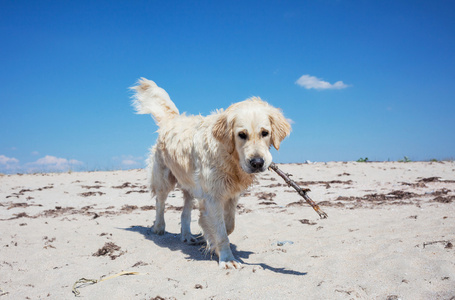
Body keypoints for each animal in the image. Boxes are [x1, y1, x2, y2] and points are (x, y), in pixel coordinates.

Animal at [131, 78, 292, 270]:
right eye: (241, 134)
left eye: (265, 133)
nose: (257, 163)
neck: (230, 158)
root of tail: (172, 121)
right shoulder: (213, 195)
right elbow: (221, 231)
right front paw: (227, 258)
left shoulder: (231, 194)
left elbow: (228, 225)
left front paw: (207, 236)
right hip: (164, 178)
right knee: (160, 202)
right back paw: (158, 227)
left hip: (190, 185)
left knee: (185, 212)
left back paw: (187, 235)